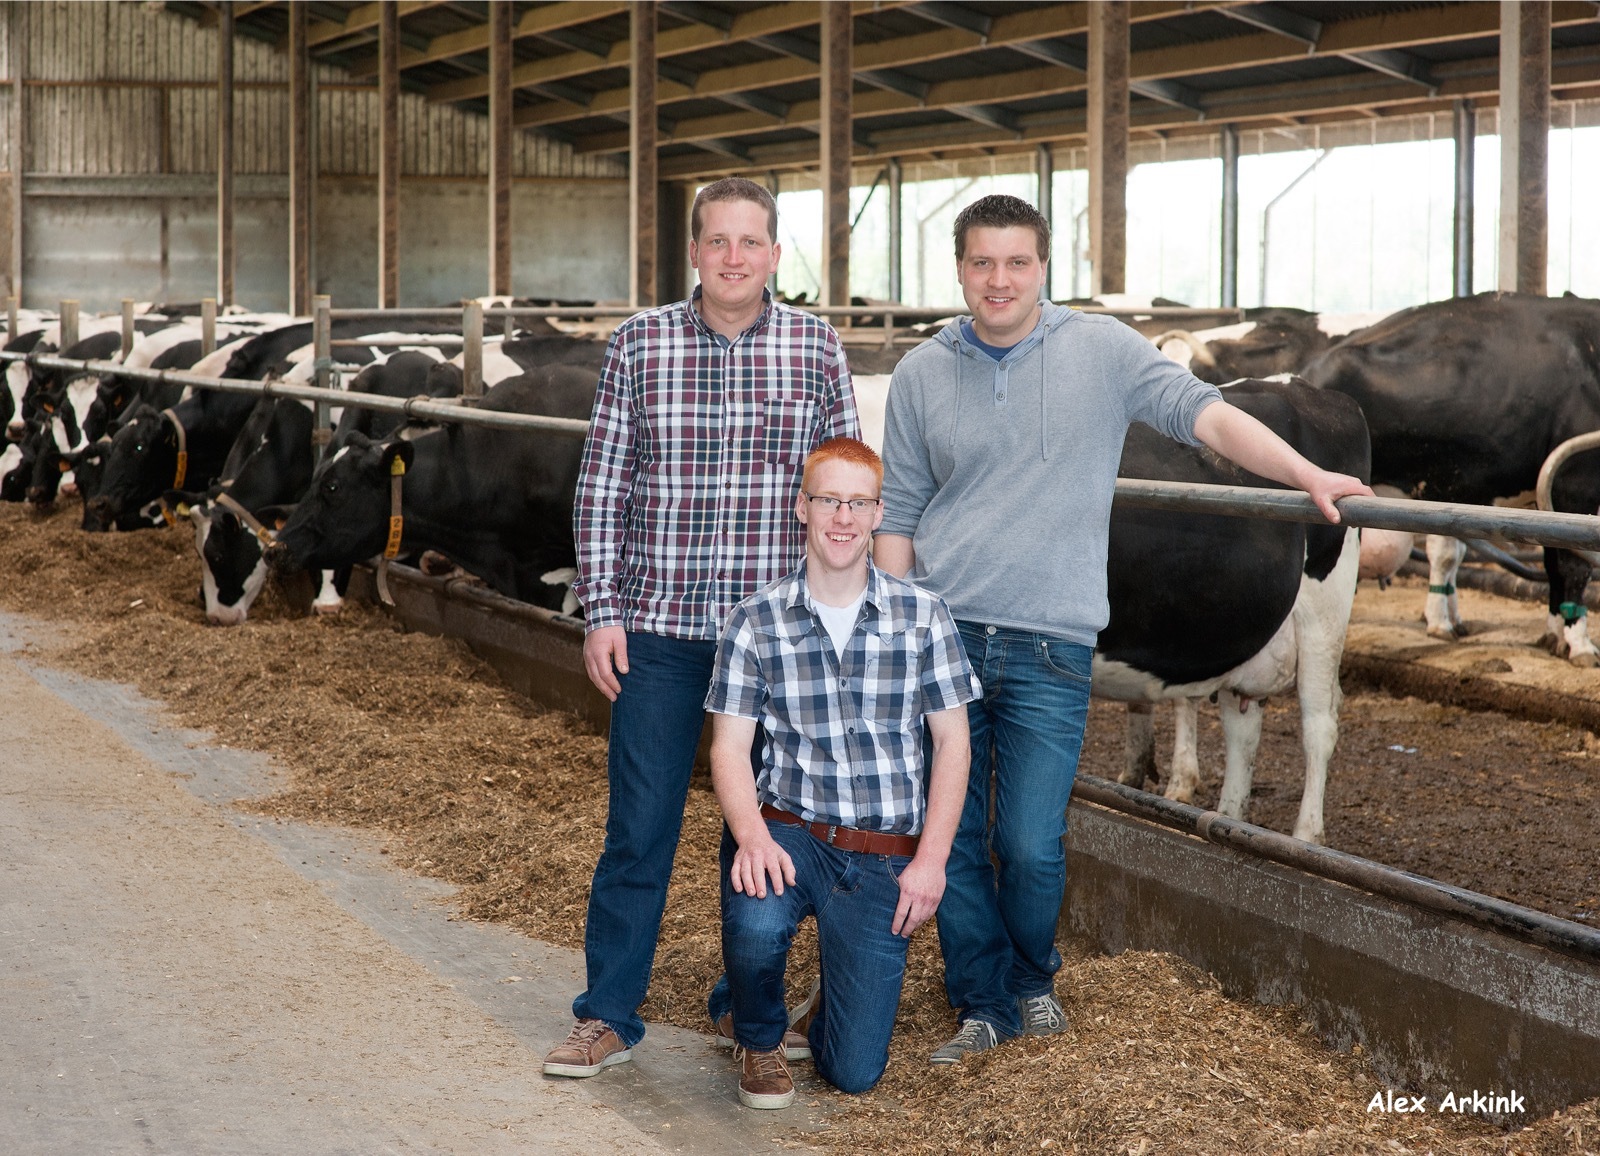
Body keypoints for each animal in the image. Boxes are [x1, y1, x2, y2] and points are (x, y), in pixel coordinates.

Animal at [1100, 377, 1376, 838]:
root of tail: (1314, 390)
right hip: (1243, 631)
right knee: (1242, 728)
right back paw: (1228, 821)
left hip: (1324, 615)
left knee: (1319, 724)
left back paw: (1305, 836)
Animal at [1305, 293, 1600, 662]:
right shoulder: (1575, 483)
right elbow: (1574, 565)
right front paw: (1580, 643)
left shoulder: (1546, 497)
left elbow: (1554, 561)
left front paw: (1555, 635)